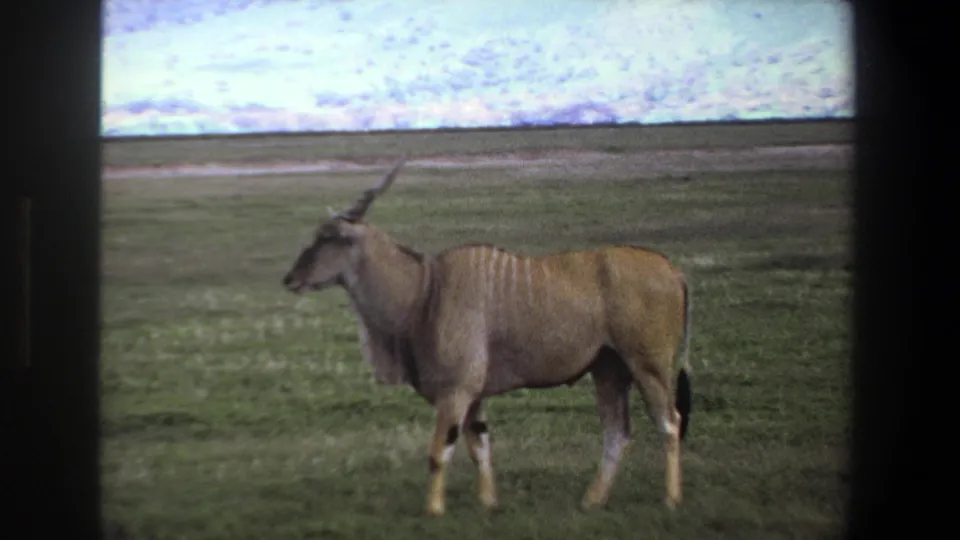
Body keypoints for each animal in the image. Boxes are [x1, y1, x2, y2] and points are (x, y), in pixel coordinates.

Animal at [281, 156, 693, 516]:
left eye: (329, 237)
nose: (290, 279)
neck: (425, 291)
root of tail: (672, 270)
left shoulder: (455, 391)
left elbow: (439, 452)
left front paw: (434, 511)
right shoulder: (473, 396)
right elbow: (479, 446)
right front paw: (488, 504)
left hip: (648, 365)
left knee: (669, 422)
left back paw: (671, 500)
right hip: (608, 369)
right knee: (617, 432)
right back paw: (592, 501)